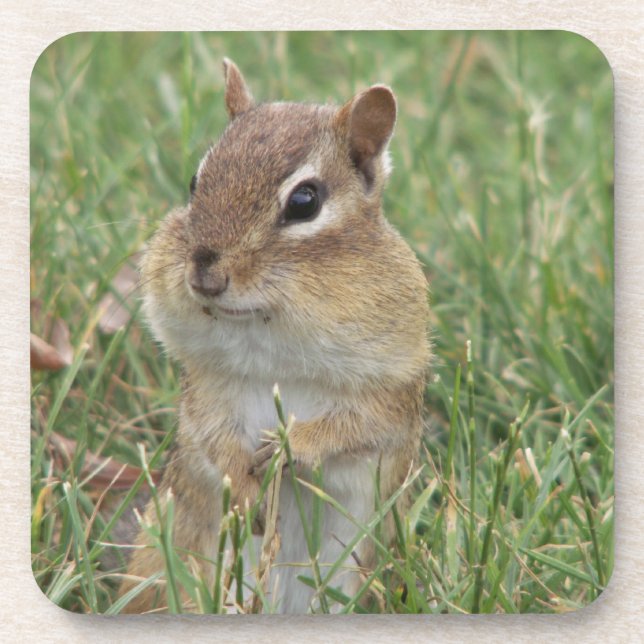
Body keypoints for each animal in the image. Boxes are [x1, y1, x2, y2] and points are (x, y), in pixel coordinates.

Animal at [118, 58, 430, 614]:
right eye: (196, 181)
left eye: (305, 201)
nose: (205, 273)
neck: (266, 332)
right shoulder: (210, 384)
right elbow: (213, 435)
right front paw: (242, 488)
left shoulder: (389, 386)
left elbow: (357, 426)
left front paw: (291, 444)